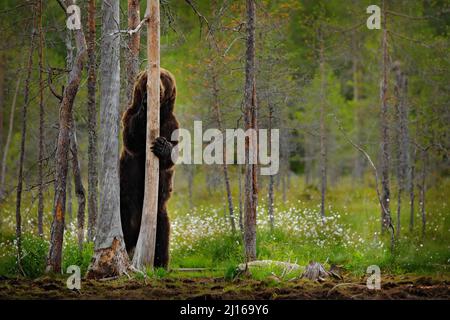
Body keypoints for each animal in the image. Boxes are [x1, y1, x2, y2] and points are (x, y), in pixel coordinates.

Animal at [119, 69, 179, 268]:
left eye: (164, 78)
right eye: (148, 76)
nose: (155, 89)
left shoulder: (171, 124)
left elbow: (171, 157)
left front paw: (163, 145)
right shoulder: (128, 115)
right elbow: (132, 138)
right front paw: (145, 103)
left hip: (159, 214)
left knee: (162, 237)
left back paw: (160, 264)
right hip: (125, 205)